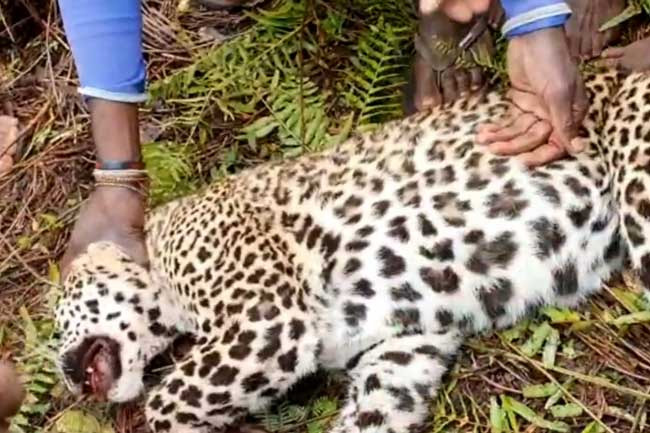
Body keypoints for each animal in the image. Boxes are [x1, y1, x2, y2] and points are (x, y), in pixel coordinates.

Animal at [54, 65, 650, 433]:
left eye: (58, 316)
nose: (62, 373)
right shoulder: (407, 342)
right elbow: (377, 407)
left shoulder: (264, 323)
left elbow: (169, 400)